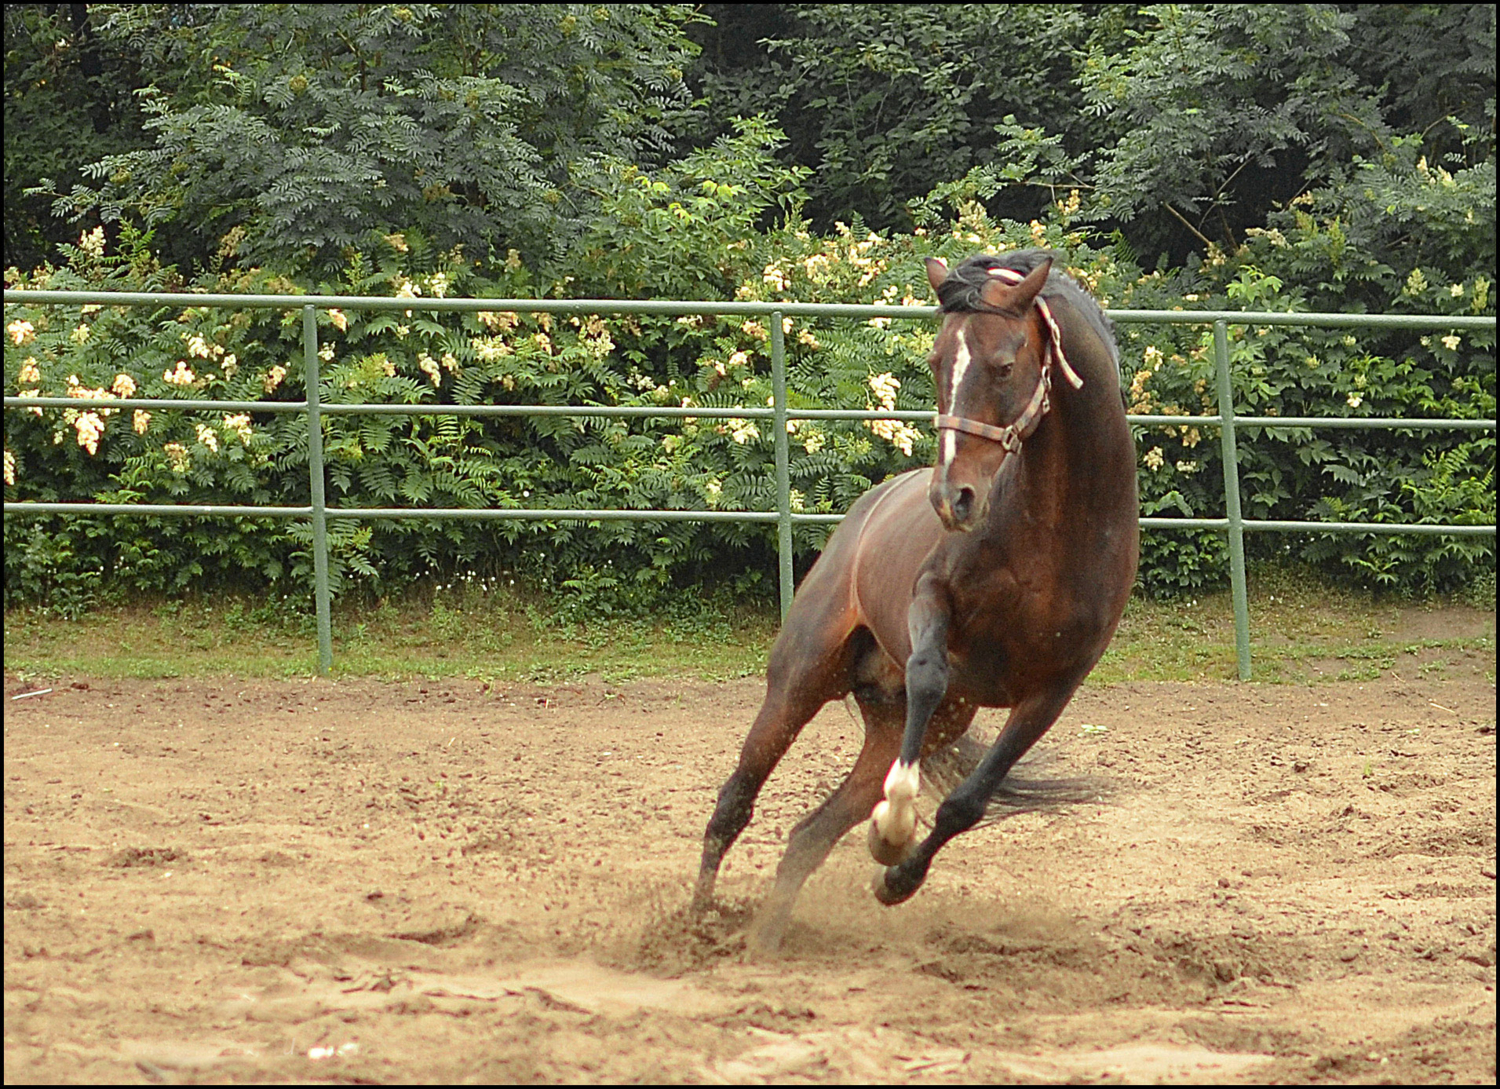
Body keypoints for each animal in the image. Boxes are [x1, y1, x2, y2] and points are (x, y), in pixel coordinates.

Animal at [690, 252, 1134, 954]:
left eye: (1004, 365)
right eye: (936, 361)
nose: (953, 499)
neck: (1060, 527)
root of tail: (866, 509)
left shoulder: (1056, 687)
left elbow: (969, 802)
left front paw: (896, 874)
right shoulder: (932, 602)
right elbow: (928, 674)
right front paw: (893, 826)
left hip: (900, 723)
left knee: (808, 837)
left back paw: (765, 941)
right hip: (800, 680)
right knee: (734, 803)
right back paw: (694, 926)